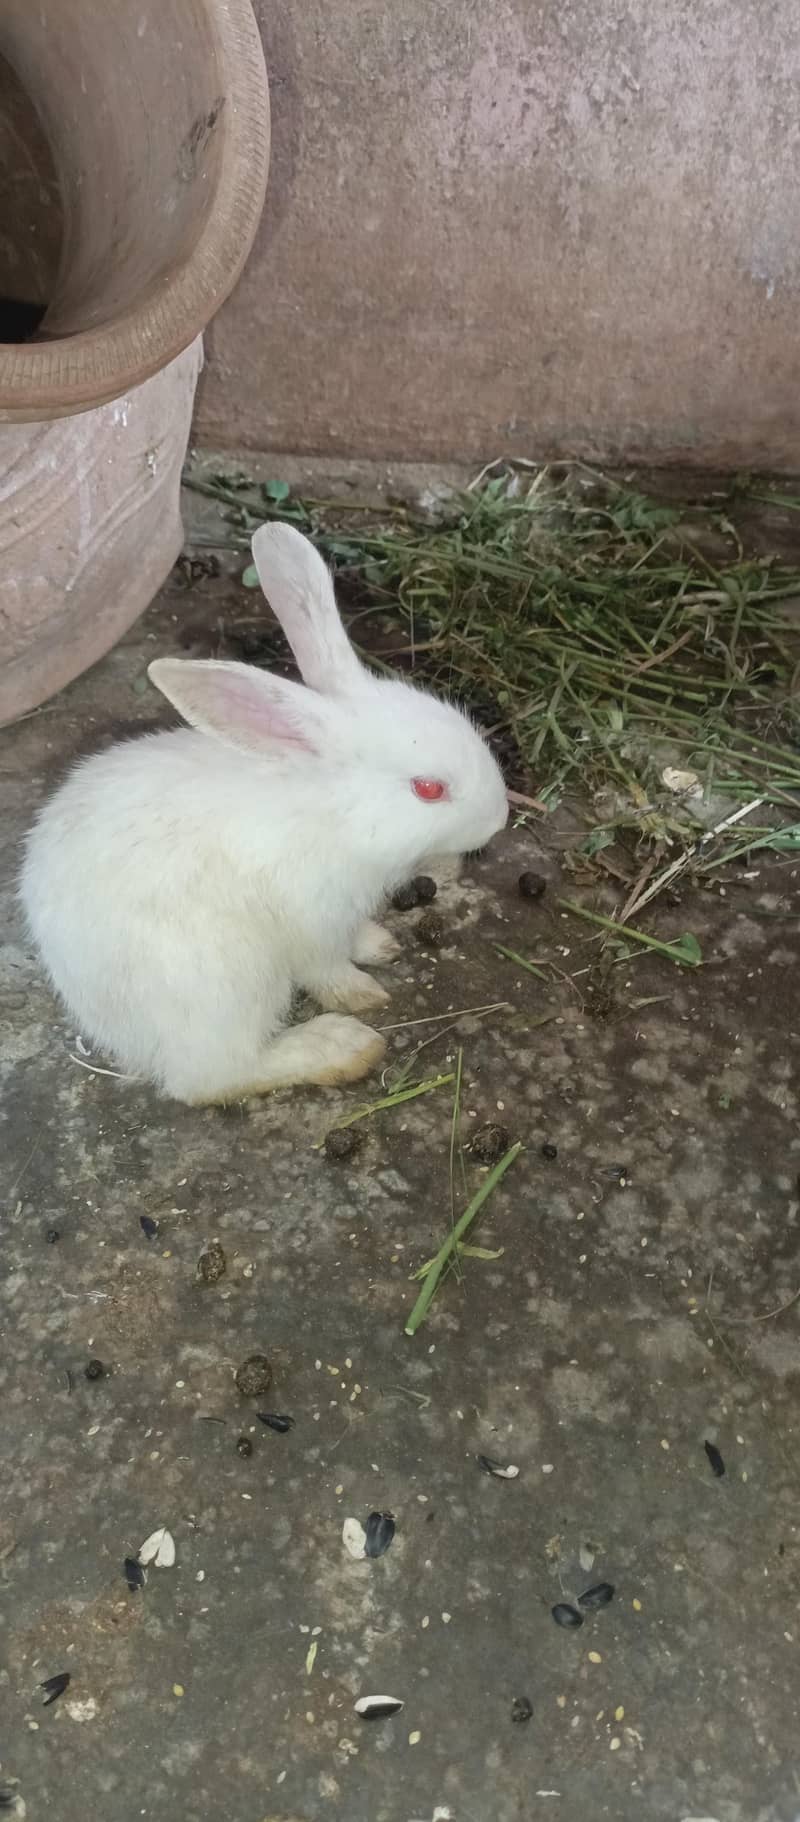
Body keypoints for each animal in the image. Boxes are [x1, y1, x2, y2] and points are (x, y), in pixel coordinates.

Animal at [19, 522, 509, 1104]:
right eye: (429, 789)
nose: (502, 816)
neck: (335, 815)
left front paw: (379, 945)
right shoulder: (314, 924)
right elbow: (328, 972)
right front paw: (363, 994)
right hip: (229, 984)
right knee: (213, 1079)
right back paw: (342, 1048)